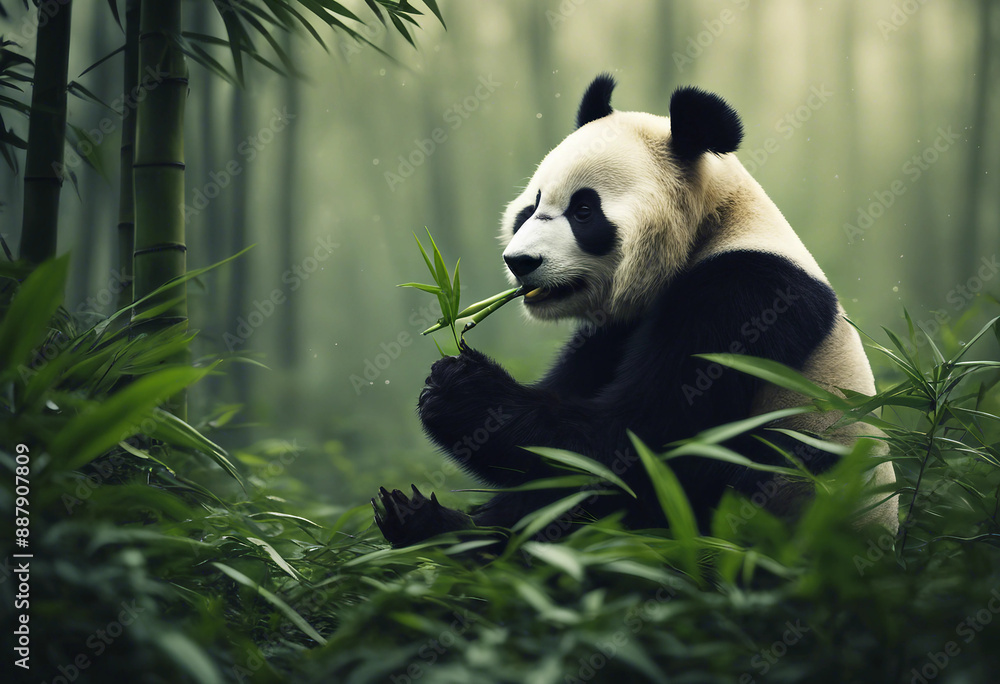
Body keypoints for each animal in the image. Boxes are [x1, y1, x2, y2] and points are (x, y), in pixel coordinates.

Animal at [373, 74, 898, 548]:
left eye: (584, 211)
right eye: (533, 206)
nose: (520, 262)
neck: (715, 224)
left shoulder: (748, 297)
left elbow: (635, 447)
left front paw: (459, 389)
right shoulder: (615, 330)